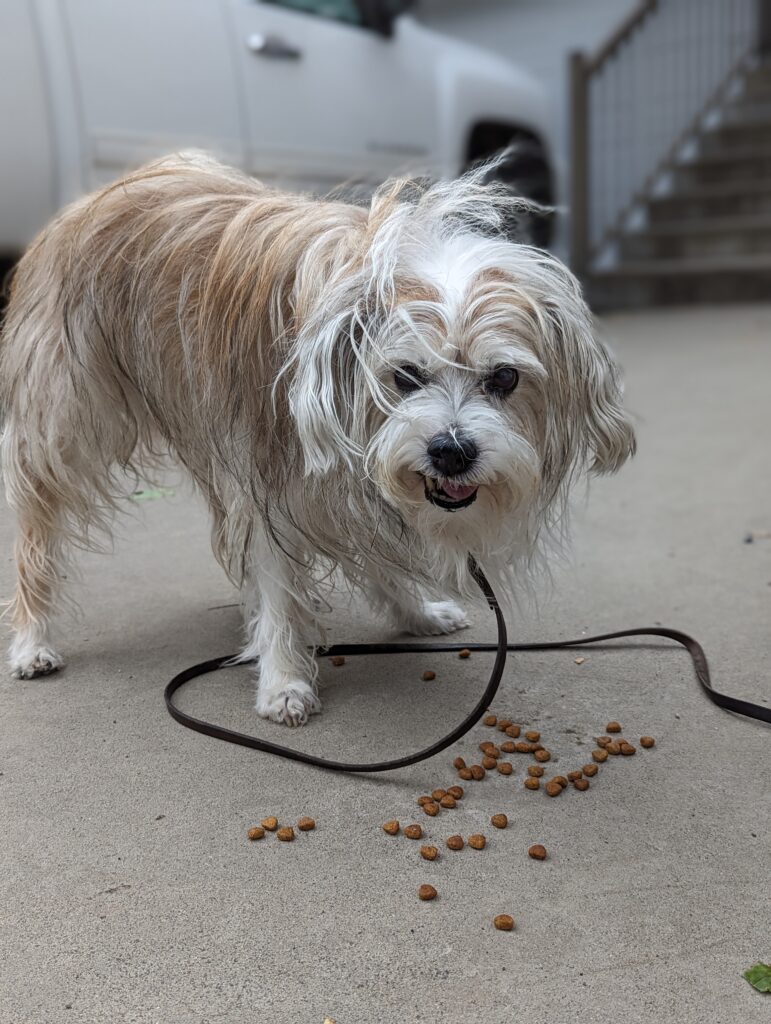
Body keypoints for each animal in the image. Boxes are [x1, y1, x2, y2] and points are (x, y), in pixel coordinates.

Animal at [3, 155, 634, 724]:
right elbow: (278, 579)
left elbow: (373, 543)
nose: (451, 452)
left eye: (504, 378)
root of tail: (91, 198)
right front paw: (283, 678)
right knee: (37, 534)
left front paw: (414, 612)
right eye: (405, 376)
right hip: (62, 429)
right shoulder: (265, 477)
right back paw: (32, 639)